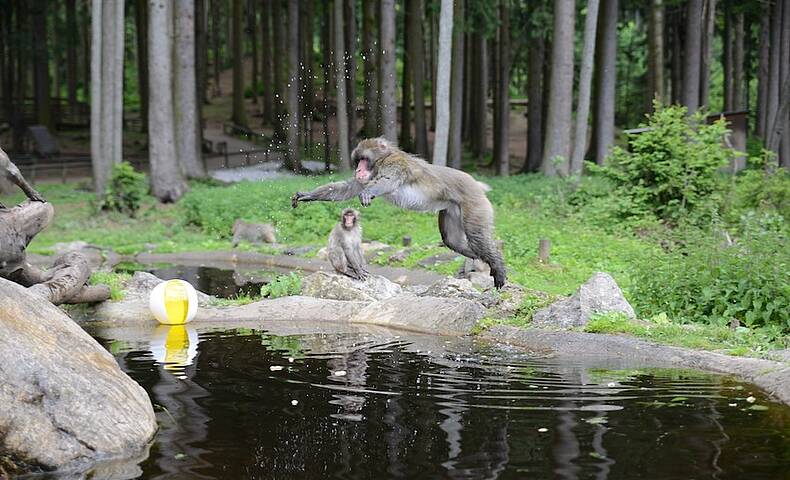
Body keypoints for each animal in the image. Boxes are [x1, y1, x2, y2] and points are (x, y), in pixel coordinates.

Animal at [292, 139, 508, 288]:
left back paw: (496, 264)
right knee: (452, 240)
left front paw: (368, 192)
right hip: (452, 208)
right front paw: (306, 195)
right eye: (358, 161)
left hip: (475, 204)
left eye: (364, 159)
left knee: (476, 235)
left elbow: (387, 181)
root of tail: (477, 185)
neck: (381, 161)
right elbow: (346, 189)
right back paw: (477, 257)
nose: (359, 170)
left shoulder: (395, 164)